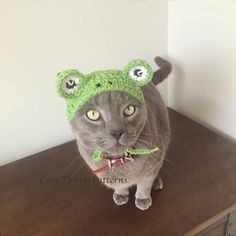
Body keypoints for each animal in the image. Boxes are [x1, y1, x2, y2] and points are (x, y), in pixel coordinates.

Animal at [58, 56, 171, 210]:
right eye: (93, 114)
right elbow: (119, 186)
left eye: (129, 109)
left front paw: (143, 199)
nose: (117, 132)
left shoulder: (152, 164)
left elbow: (144, 184)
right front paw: (121, 194)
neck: (119, 161)